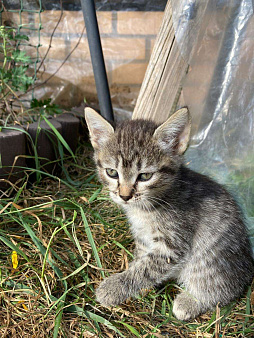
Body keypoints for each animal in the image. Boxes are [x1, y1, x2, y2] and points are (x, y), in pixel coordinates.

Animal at [85, 107, 254, 320]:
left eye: (145, 176)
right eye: (112, 173)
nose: (124, 196)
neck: (145, 209)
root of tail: (248, 264)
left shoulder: (173, 244)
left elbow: (147, 268)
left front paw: (115, 287)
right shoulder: (143, 238)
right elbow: (142, 260)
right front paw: (138, 285)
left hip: (211, 258)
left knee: (224, 287)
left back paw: (190, 301)